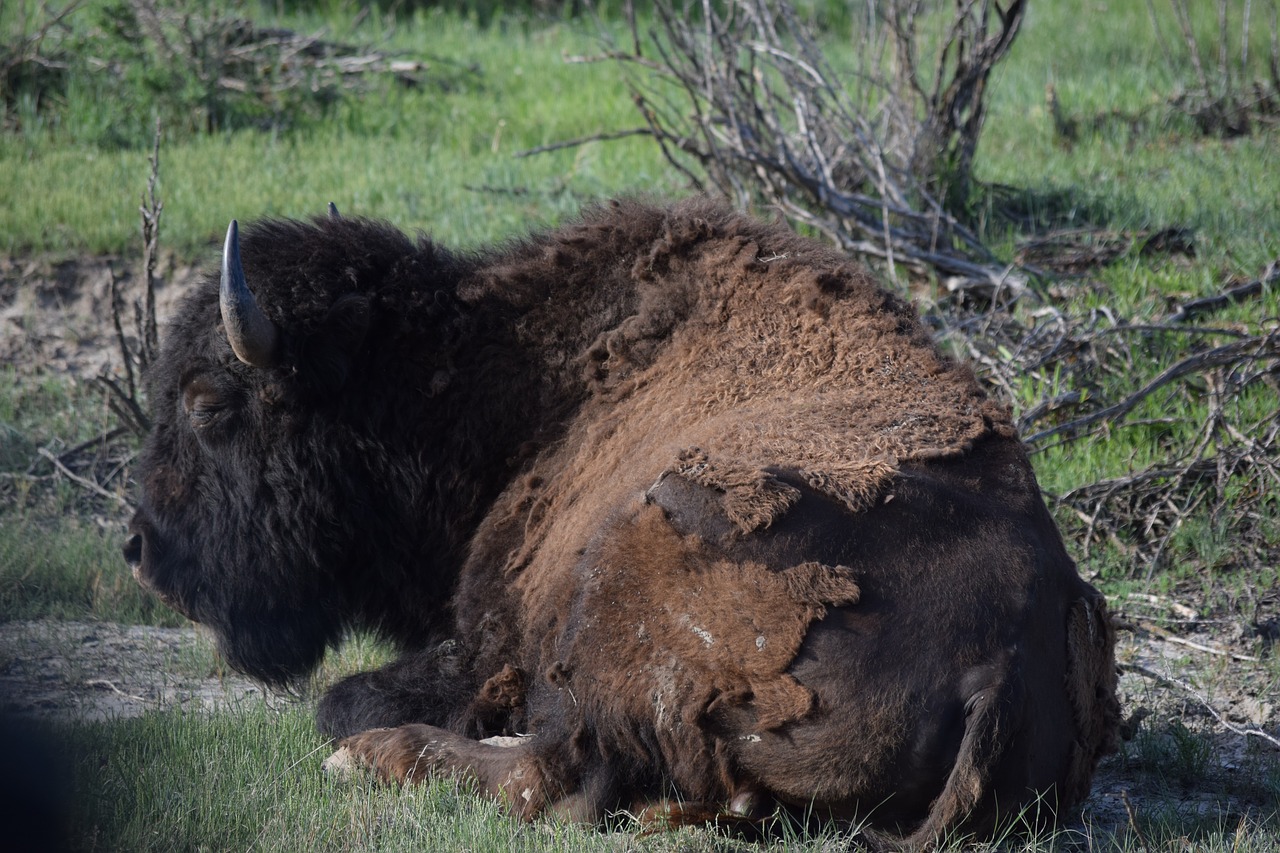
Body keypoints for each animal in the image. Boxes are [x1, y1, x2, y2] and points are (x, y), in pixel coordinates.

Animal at [124, 197, 1116, 845]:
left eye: (208, 403)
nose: (142, 551)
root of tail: (1004, 652)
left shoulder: (487, 643)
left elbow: (343, 696)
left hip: (632, 560)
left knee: (551, 778)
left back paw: (372, 756)